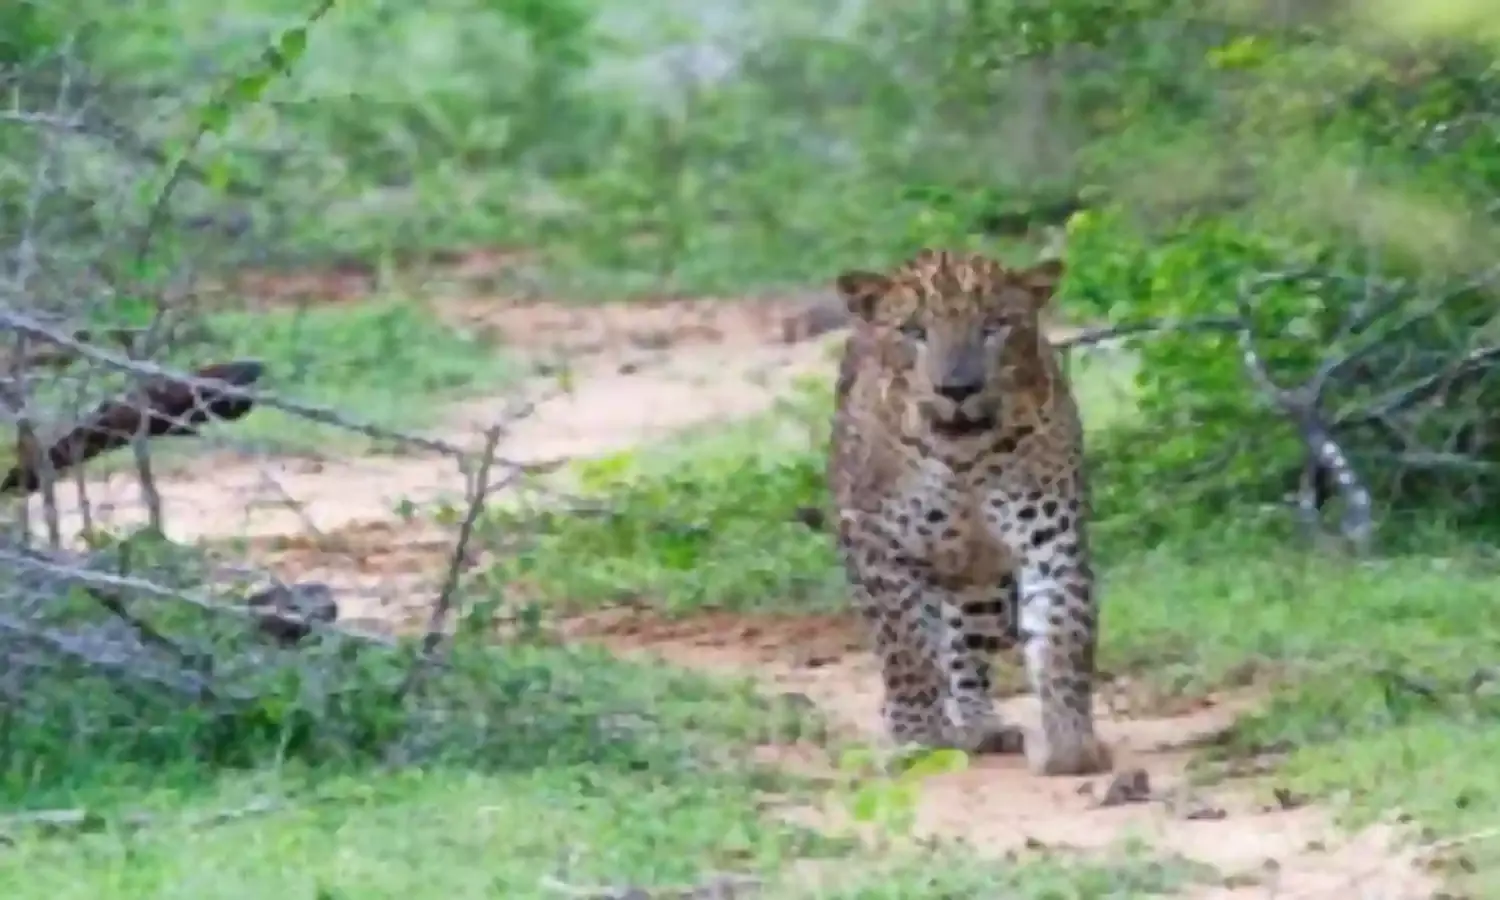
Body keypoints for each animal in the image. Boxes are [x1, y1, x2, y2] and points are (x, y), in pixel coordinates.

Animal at [826, 247, 1113, 776]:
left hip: (984, 586)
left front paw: (1071, 744)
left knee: (966, 651)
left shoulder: (1050, 539)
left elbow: (1064, 635)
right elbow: (907, 649)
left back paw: (980, 727)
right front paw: (917, 739)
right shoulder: (878, 543)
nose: (957, 388)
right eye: (914, 330)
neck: (965, 458)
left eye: (994, 326)